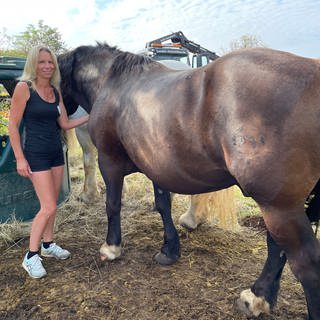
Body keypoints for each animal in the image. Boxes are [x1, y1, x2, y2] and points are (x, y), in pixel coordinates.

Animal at [58, 43, 320, 318]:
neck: (112, 82)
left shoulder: (109, 162)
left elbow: (112, 205)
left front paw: (111, 247)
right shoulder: (157, 165)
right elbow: (163, 205)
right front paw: (169, 250)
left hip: (278, 206)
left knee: (307, 265)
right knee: (276, 248)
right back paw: (257, 297)